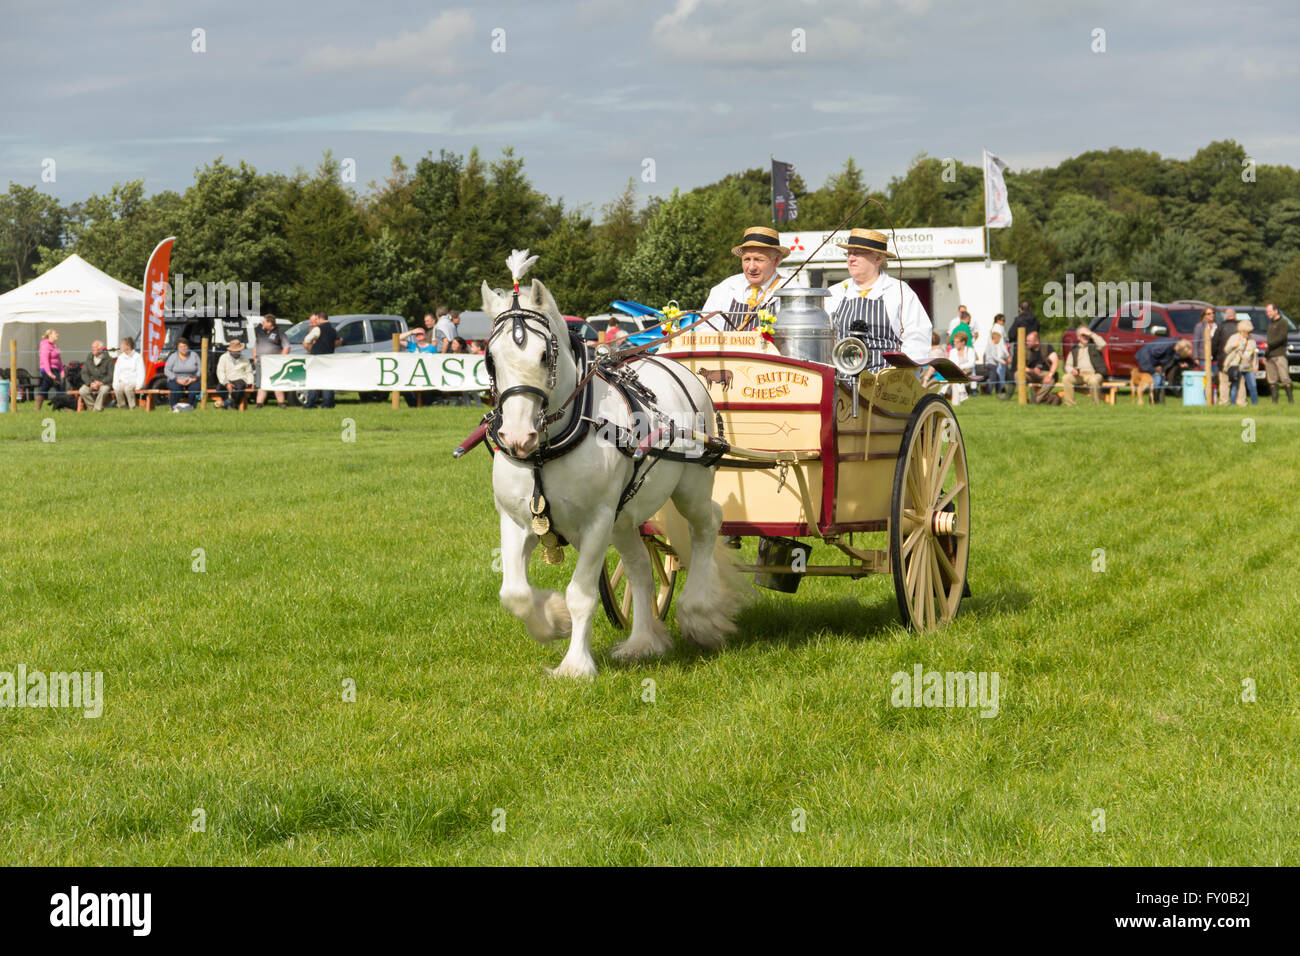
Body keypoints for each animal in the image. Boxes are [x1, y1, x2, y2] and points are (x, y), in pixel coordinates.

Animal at [480, 256, 748, 671]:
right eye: (491, 358)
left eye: (544, 356)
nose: (518, 436)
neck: (547, 452)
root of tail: (678, 368)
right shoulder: (516, 520)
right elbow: (514, 593)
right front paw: (553, 620)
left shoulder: (597, 521)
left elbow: (581, 595)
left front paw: (575, 666)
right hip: (625, 517)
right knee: (640, 568)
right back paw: (642, 640)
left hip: (690, 486)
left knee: (707, 525)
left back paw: (699, 613)